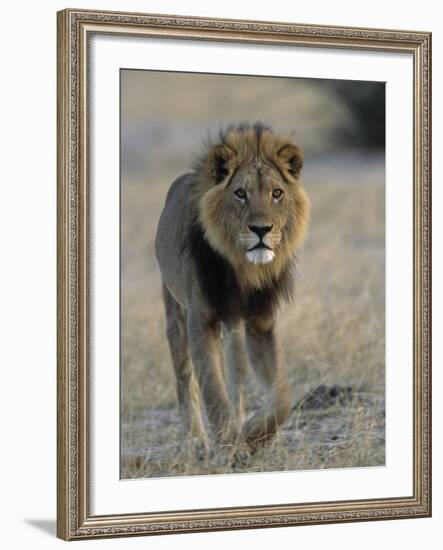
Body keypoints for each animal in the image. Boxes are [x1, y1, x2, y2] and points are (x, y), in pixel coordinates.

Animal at [156, 122, 312, 452]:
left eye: (277, 193)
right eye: (241, 193)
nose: (261, 230)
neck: (244, 270)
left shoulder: (261, 324)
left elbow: (282, 396)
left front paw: (253, 433)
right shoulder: (201, 320)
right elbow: (213, 391)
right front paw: (229, 443)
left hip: (232, 327)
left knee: (236, 376)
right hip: (176, 313)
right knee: (185, 376)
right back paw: (197, 440)